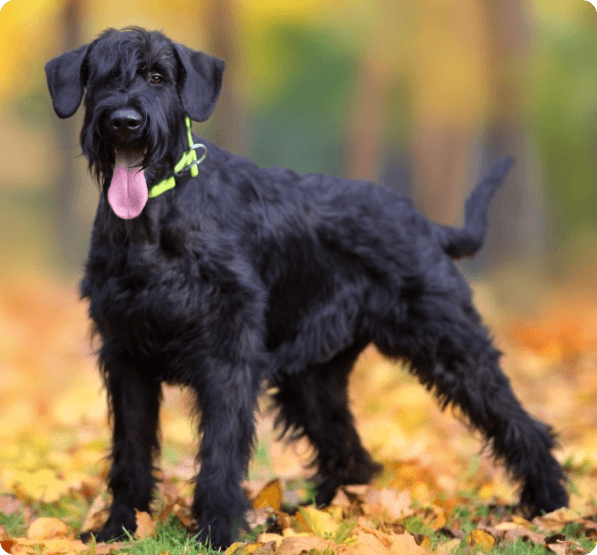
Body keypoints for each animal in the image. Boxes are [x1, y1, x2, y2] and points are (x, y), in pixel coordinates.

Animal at [46, 27, 568, 552]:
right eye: (102, 75)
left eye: (157, 76)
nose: (125, 122)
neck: (153, 223)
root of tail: (426, 224)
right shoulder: (126, 357)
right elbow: (130, 451)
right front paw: (117, 529)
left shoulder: (227, 359)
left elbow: (219, 452)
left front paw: (216, 534)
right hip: (312, 379)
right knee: (349, 452)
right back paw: (325, 517)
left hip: (453, 346)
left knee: (520, 424)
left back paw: (550, 507)